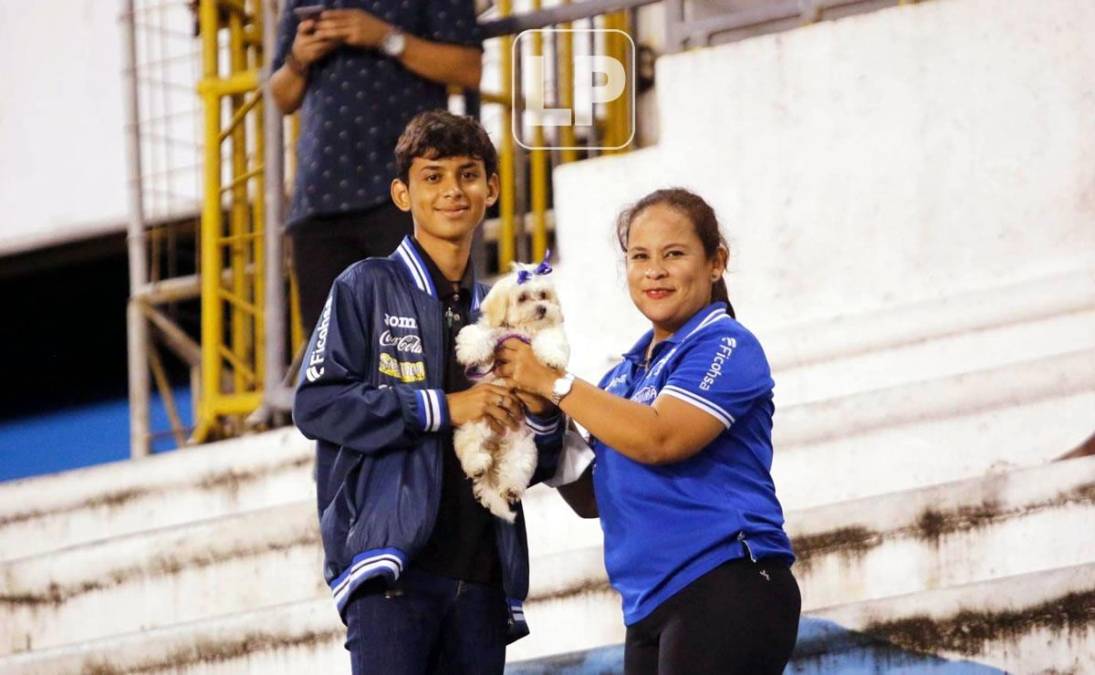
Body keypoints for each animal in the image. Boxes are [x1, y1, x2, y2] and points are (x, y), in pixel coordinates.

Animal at [455, 259, 573, 521]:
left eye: (543, 295)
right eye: (522, 298)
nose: (542, 309)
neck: (524, 328)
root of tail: (498, 445)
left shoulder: (548, 332)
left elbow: (550, 338)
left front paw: (551, 358)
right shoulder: (497, 332)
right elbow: (482, 332)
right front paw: (471, 350)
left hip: (523, 445)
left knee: (516, 467)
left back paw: (510, 488)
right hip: (480, 421)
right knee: (467, 443)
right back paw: (477, 464)